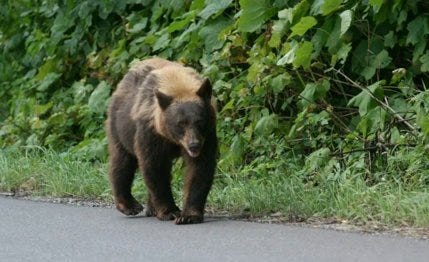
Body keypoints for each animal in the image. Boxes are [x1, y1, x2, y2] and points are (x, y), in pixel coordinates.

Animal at [105, 57, 216, 225]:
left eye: (200, 121)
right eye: (180, 123)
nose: (194, 145)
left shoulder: (207, 135)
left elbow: (200, 168)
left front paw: (189, 215)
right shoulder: (151, 132)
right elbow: (154, 168)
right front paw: (170, 212)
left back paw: (151, 208)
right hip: (119, 128)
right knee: (122, 162)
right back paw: (129, 205)